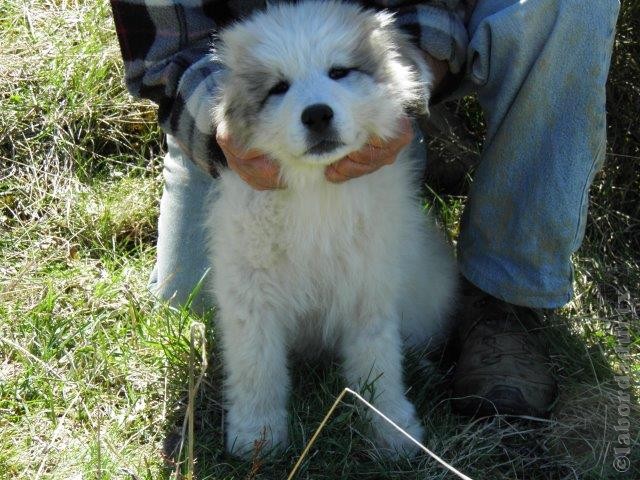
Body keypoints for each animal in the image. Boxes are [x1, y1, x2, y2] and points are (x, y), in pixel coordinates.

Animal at [209, 0, 456, 458]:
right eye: (278, 88)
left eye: (339, 72)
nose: (317, 115)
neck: (316, 192)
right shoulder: (251, 295)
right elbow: (257, 368)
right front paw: (257, 435)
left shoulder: (368, 285)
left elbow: (378, 360)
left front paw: (392, 427)